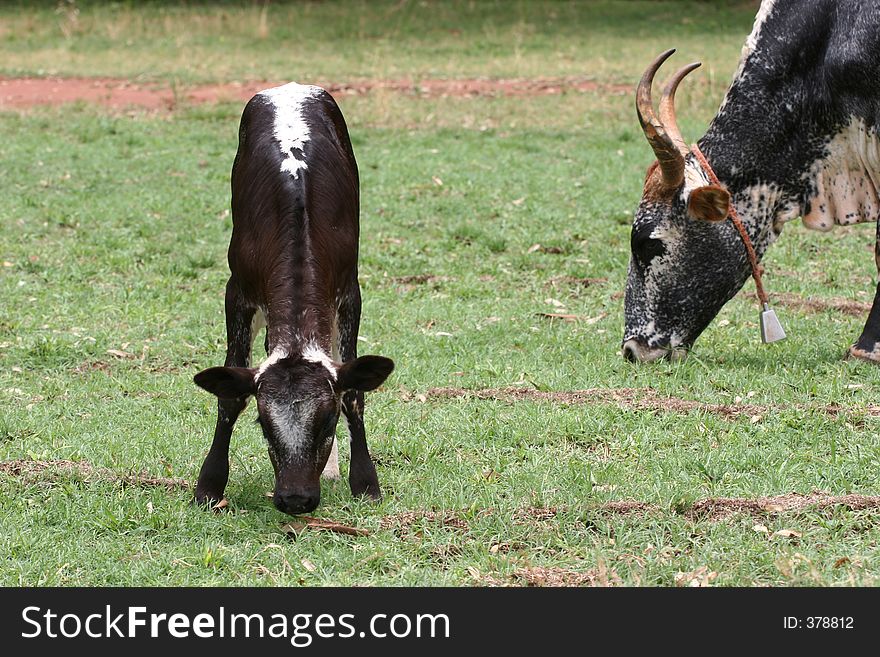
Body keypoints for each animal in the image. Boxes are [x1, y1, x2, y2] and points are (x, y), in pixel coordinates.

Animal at [198, 82, 398, 516]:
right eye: (264, 424)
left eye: (327, 423)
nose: (295, 498)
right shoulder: (237, 292)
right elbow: (229, 394)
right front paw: (209, 484)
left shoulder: (350, 292)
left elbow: (353, 390)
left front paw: (364, 480)